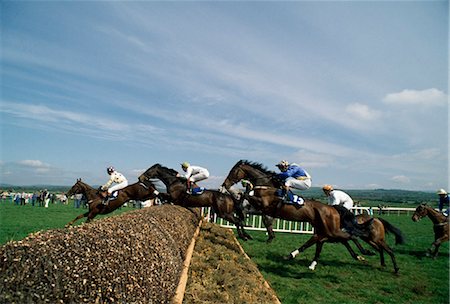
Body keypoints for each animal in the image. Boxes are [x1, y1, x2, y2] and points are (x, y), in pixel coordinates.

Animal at [221, 162, 404, 274]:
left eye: (233, 171)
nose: (225, 184)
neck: (267, 186)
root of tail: (332, 208)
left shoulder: (264, 205)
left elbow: (247, 198)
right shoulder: (261, 207)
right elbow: (246, 204)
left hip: (334, 231)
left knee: (352, 237)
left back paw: (369, 255)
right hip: (325, 231)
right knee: (334, 239)